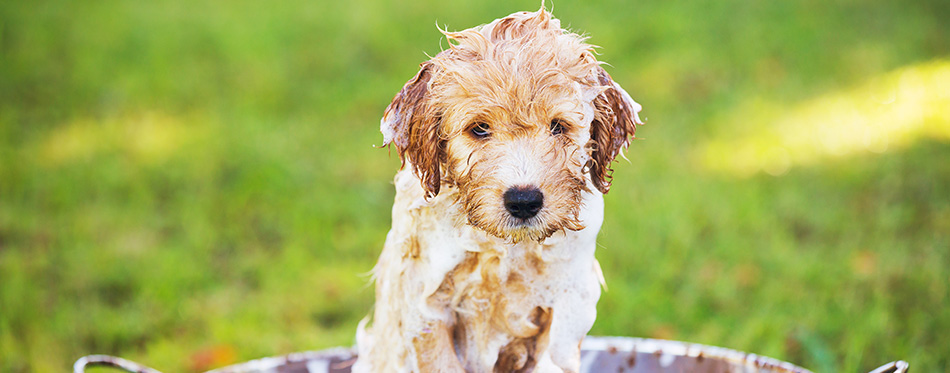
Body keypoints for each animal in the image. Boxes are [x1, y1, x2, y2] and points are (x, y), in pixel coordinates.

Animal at [356, 6, 648, 372]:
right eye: (479, 129)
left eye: (558, 127)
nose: (524, 201)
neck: (502, 251)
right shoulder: (425, 307)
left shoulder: (561, 313)